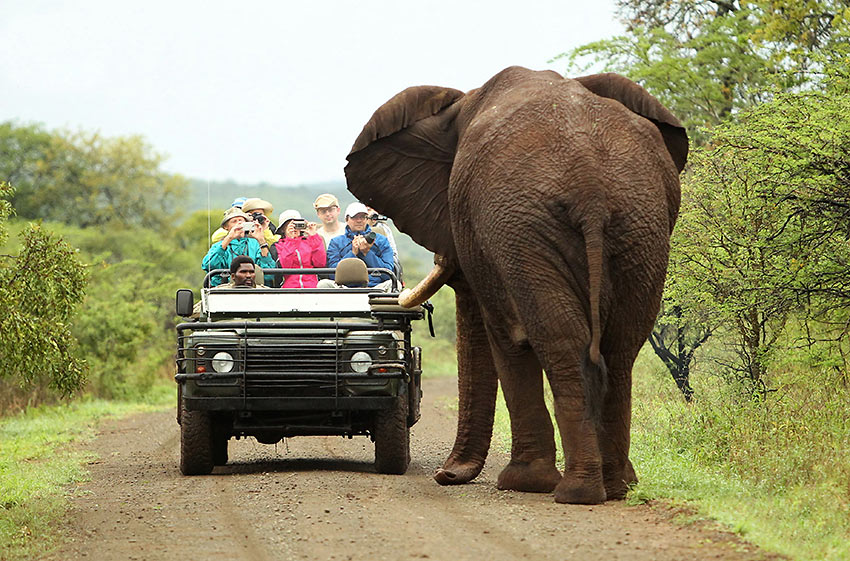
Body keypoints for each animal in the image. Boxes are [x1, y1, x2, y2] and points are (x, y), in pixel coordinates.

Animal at [342, 65, 684, 504]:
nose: (444, 475)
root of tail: (590, 185)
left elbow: (504, 335)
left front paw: (524, 483)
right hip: (641, 225)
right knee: (621, 346)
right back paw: (616, 487)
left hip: (528, 229)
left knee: (558, 342)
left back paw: (576, 491)